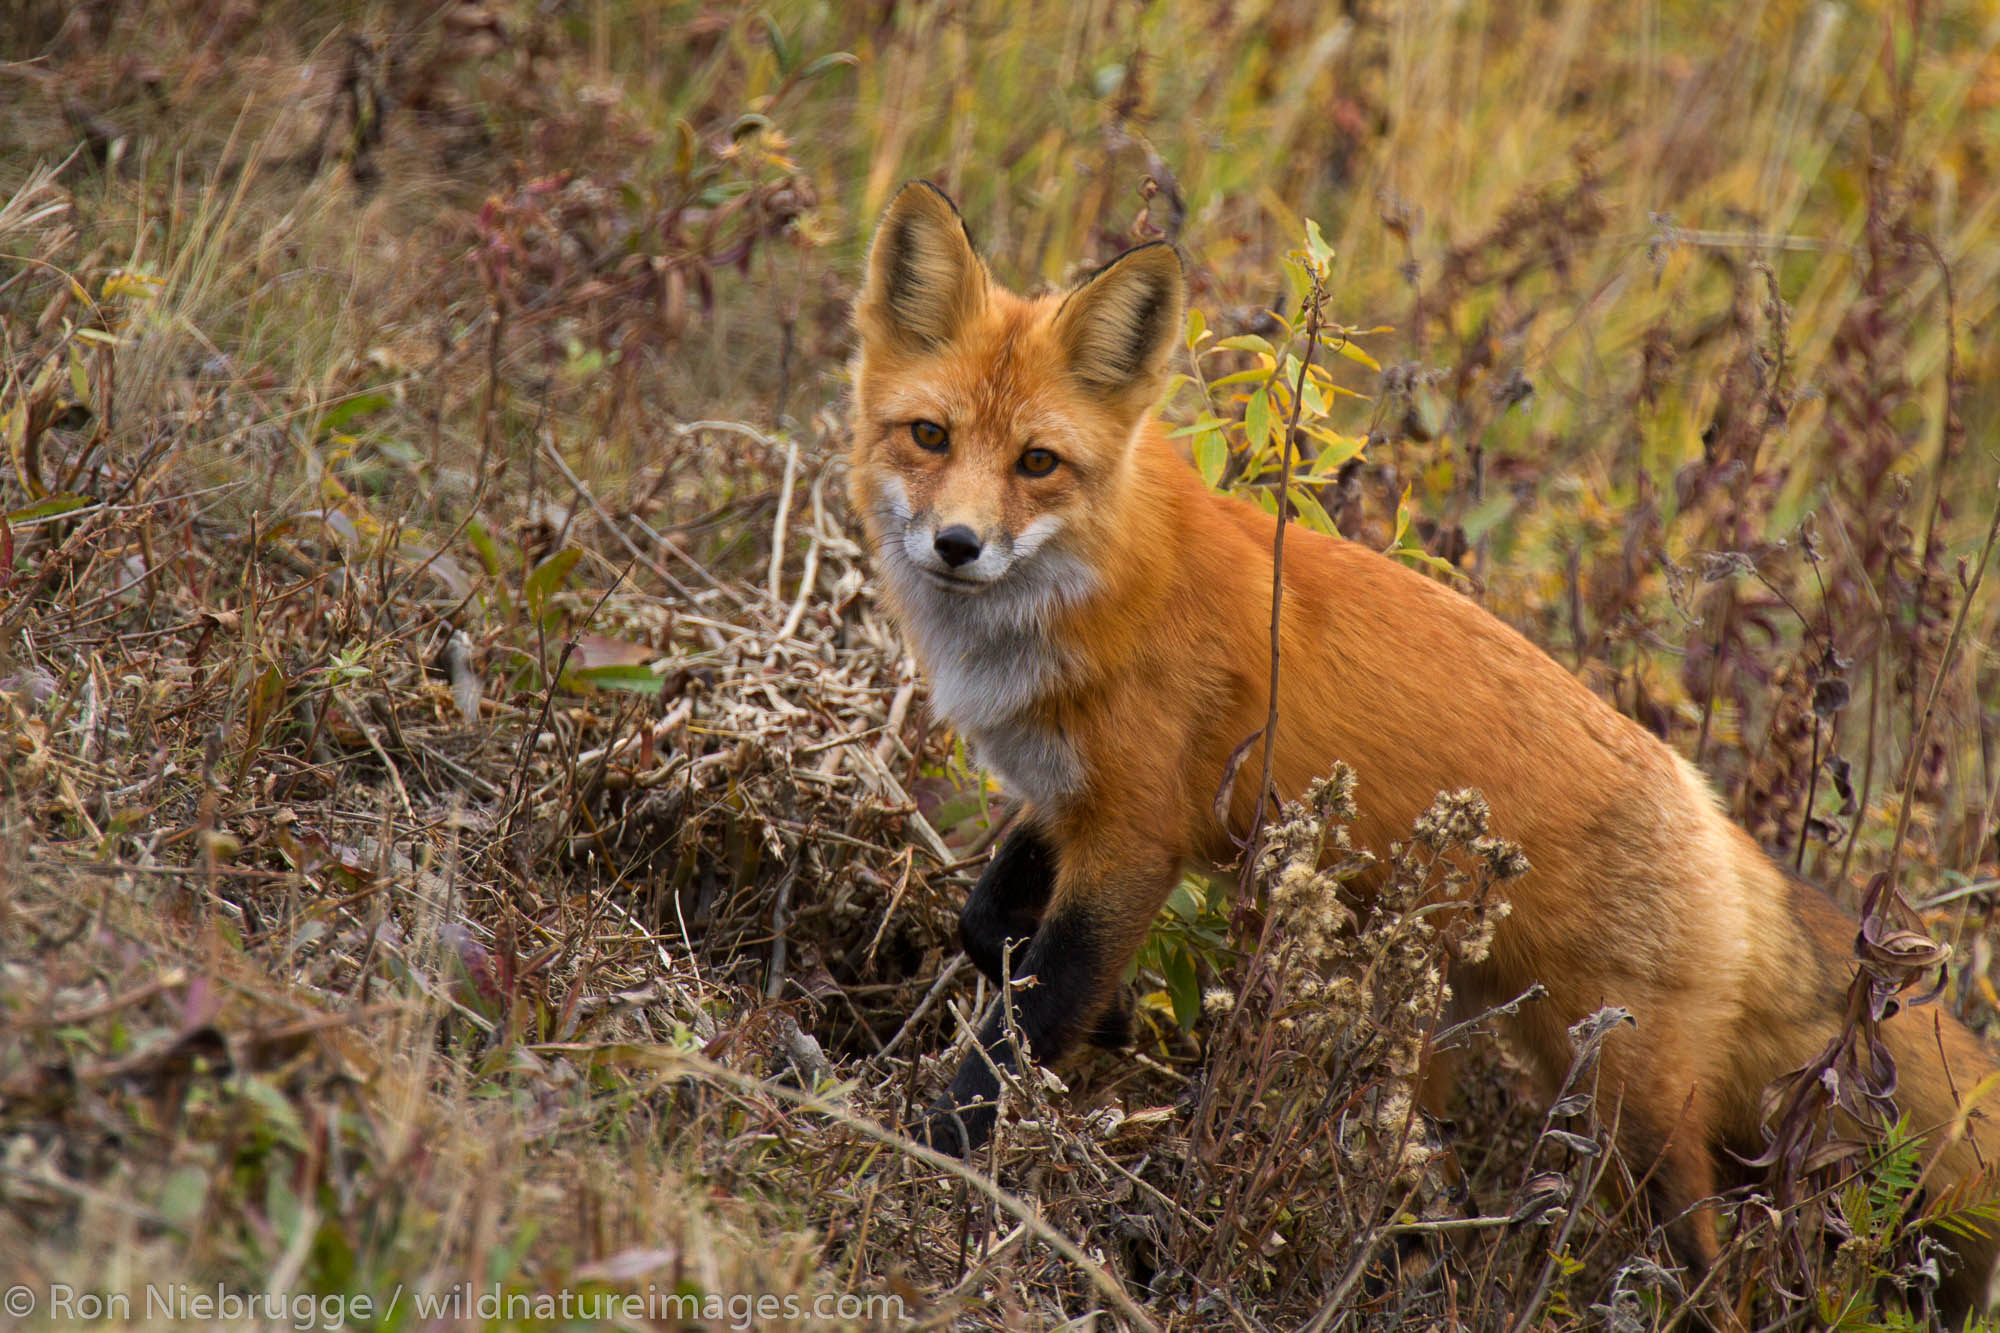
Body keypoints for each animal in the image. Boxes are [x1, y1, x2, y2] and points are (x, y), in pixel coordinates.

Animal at [848, 182, 2000, 1312]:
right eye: (930, 436)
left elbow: (1017, 1034)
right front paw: (1119, 1019)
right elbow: (983, 923)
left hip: (1629, 1113)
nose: (956, 545)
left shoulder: (1135, 836)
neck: (1097, 583)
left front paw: (936, 1160)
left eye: (1037, 463)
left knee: (1705, 1260)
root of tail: (1711, 812)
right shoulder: (1067, 798)